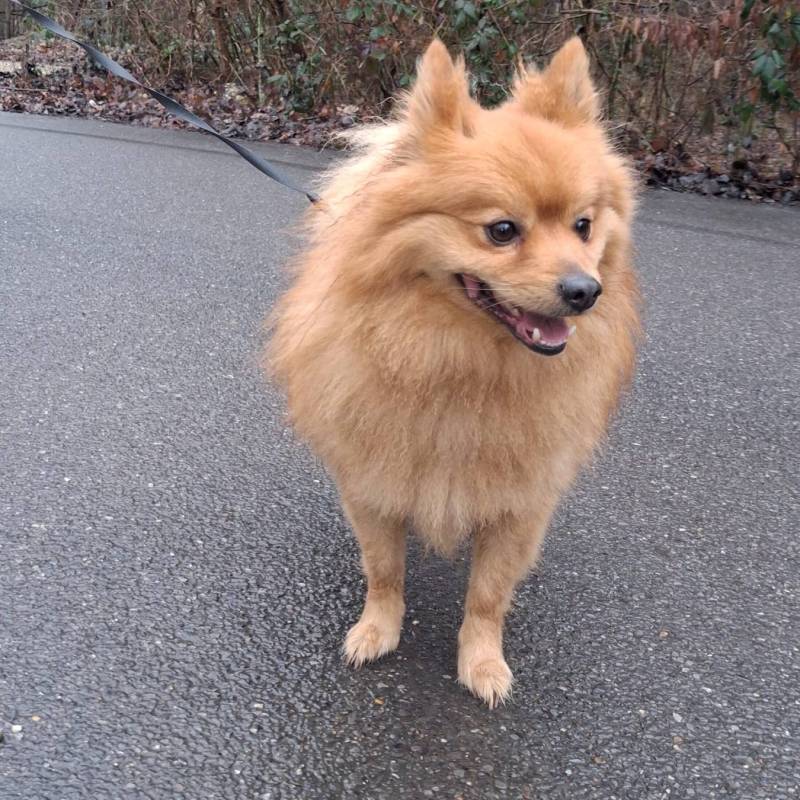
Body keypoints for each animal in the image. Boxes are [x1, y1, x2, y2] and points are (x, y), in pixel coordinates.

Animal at [266, 37, 640, 707]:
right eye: (502, 230)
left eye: (584, 226)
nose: (585, 290)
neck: (458, 363)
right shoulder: (373, 481)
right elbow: (384, 570)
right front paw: (377, 630)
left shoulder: (519, 503)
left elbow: (488, 595)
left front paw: (482, 662)